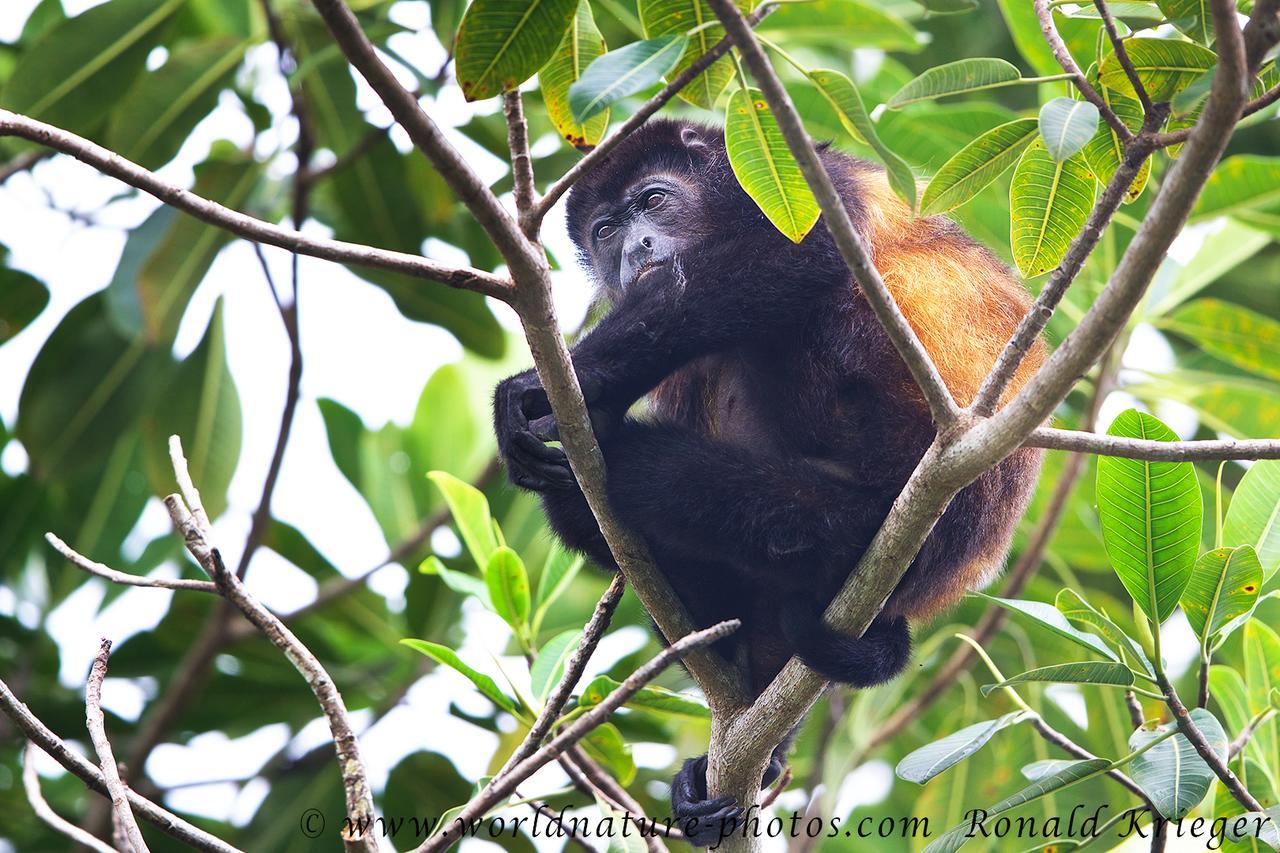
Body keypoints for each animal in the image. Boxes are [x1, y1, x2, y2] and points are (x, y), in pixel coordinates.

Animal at [494, 119, 1044, 845]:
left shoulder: (795, 173)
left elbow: (798, 253)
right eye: (605, 230)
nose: (636, 248)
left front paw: (542, 386)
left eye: (654, 200)